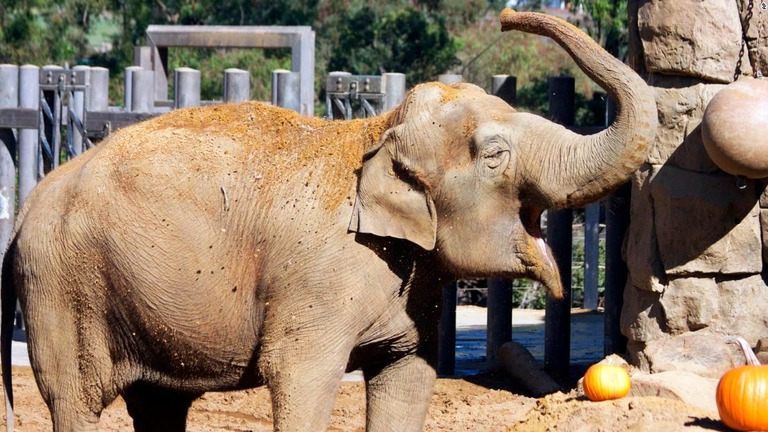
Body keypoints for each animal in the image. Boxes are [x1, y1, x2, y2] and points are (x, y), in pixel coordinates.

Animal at [3, 9, 656, 432]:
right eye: (494, 155)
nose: (507, 15)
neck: (378, 129)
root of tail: (28, 206)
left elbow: (408, 379)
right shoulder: (317, 281)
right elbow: (299, 378)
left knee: (159, 405)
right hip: (62, 289)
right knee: (77, 402)